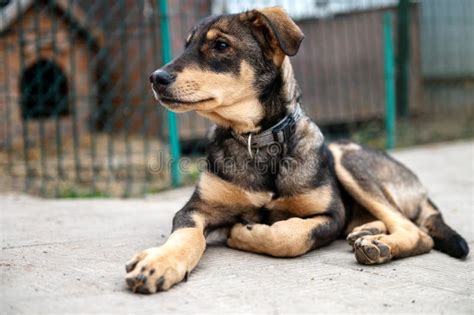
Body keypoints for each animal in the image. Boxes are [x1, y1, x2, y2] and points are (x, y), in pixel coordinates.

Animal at [124, 6, 468, 294]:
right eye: (186, 46)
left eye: (221, 46)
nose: (155, 78)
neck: (257, 139)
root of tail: (420, 188)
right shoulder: (197, 208)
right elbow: (186, 235)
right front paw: (158, 264)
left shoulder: (331, 215)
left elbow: (292, 236)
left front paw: (247, 233)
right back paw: (368, 234)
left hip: (345, 157)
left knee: (417, 232)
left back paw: (378, 245)